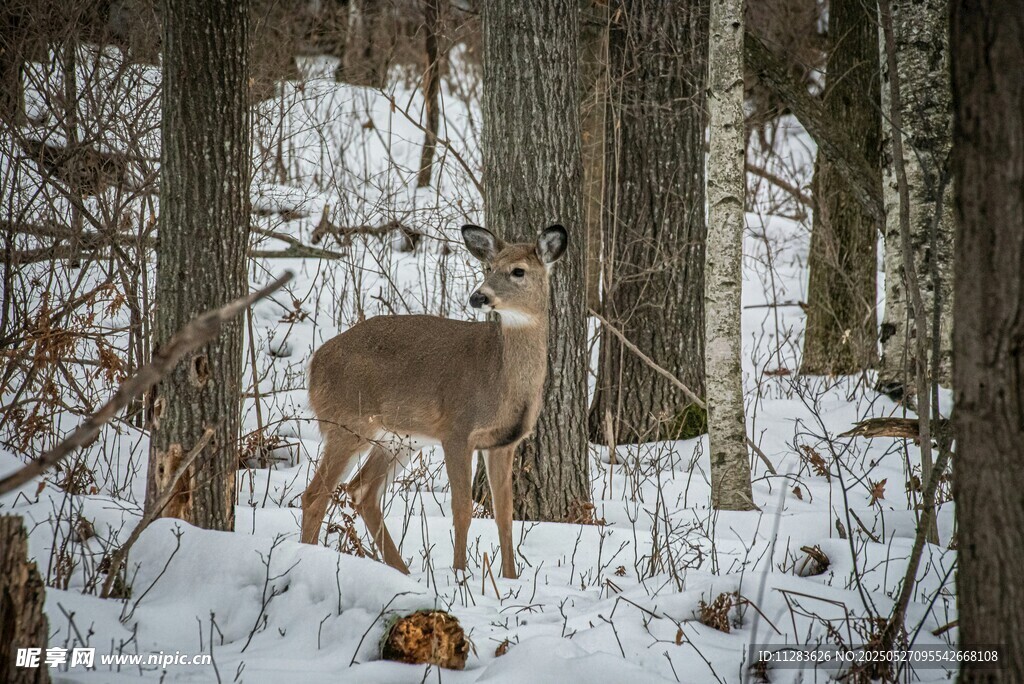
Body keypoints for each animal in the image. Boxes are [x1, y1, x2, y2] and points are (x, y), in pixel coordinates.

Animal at [300, 223, 568, 579]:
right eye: (488, 268)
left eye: (518, 271)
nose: (478, 296)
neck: (502, 382)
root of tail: (315, 363)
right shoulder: (457, 430)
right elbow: (463, 508)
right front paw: (460, 575)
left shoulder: (503, 442)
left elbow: (504, 514)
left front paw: (510, 579)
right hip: (347, 422)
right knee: (315, 495)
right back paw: (309, 556)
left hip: (397, 439)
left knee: (361, 491)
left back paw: (401, 572)